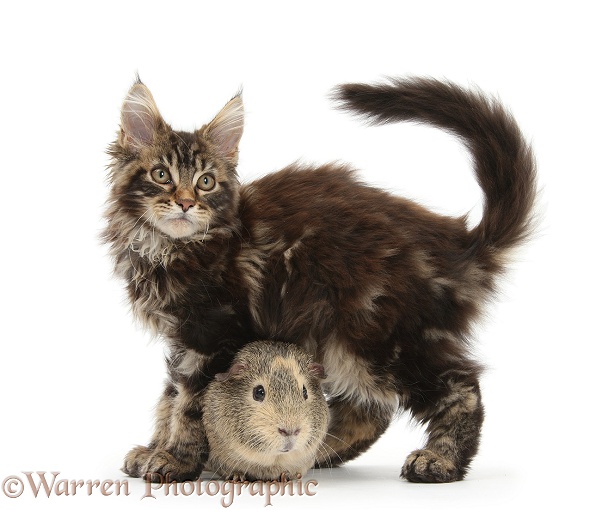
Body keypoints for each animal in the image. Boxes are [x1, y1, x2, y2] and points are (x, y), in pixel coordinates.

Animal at [104, 75, 536, 482]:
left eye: (206, 182)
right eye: (161, 175)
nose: (185, 203)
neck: (170, 247)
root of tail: (457, 245)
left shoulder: (213, 335)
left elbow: (189, 404)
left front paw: (176, 459)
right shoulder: (183, 338)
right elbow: (169, 396)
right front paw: (154, 448)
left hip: (379, 339)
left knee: (460, 386)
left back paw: (440, 459)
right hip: (344, 343)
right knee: (371, 409)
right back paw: (318, 449)